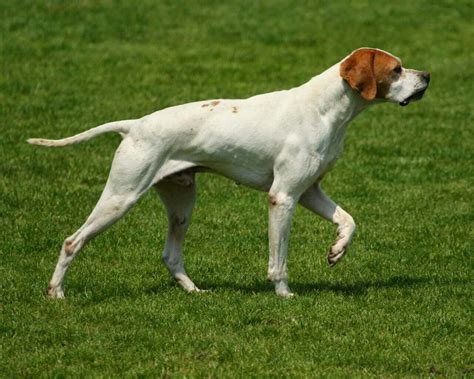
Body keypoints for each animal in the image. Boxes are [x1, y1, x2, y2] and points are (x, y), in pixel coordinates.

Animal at [27, 47, 432, 298]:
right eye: (396, 69)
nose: (427, 75)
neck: (324, 110)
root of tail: (135, 125)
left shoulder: (309, 191)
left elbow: (349, 221)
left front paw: (337, 250)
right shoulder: (283, 197)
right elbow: (279, 260)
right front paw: (284, 294)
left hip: (182, 204)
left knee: (170, 255)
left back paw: (194, 291)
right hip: (121, 197)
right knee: (72, 241)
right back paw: (56, 293)